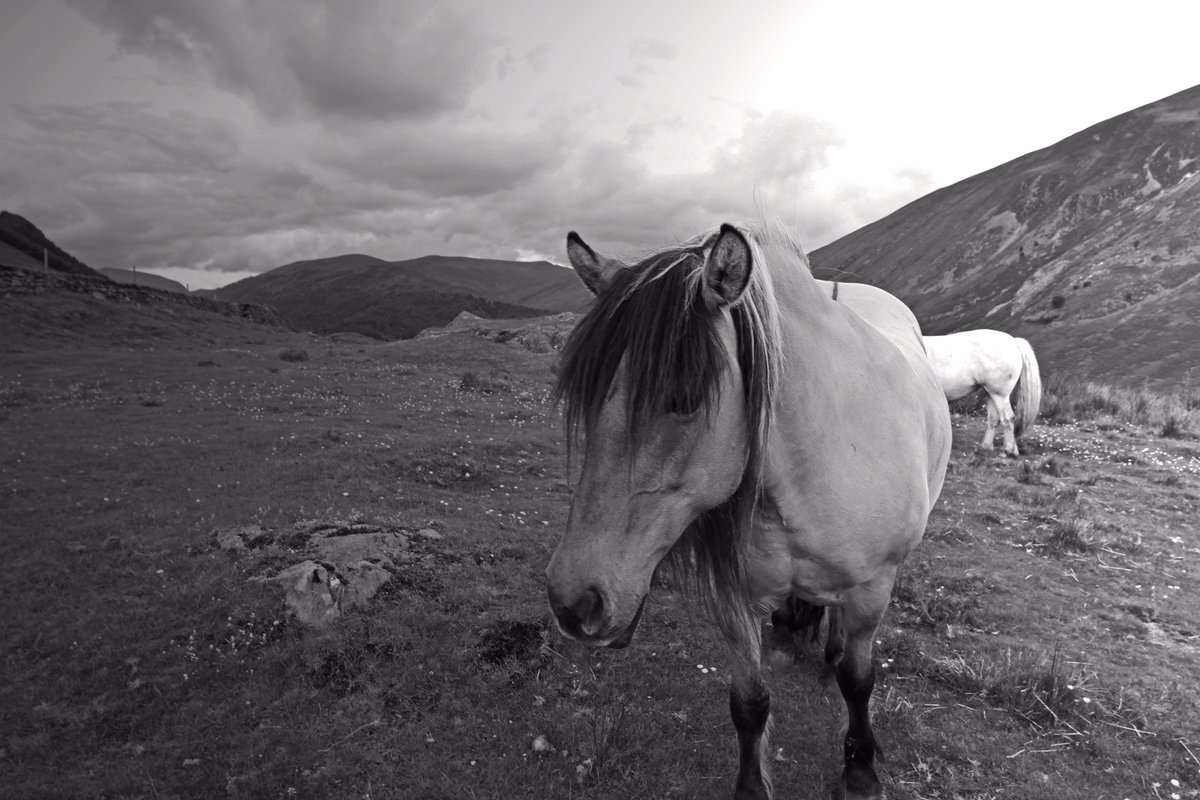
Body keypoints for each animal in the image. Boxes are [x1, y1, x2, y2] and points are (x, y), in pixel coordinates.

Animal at [546, 222, 952, 800]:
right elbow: (749, 702)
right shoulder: (733, 598)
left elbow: (858, 680)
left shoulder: (874, 587)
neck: (817, 454)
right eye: (590, 393)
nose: (573, 602)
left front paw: (859, 769)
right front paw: (751, 785)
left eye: (686, 398)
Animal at [922, 329, 1042, 457]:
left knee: (1008, 419)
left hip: (1000, 395)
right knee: (993, 419)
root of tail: (1014, 341)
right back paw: (987, 447)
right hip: (991, 393)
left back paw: (1008, 450)